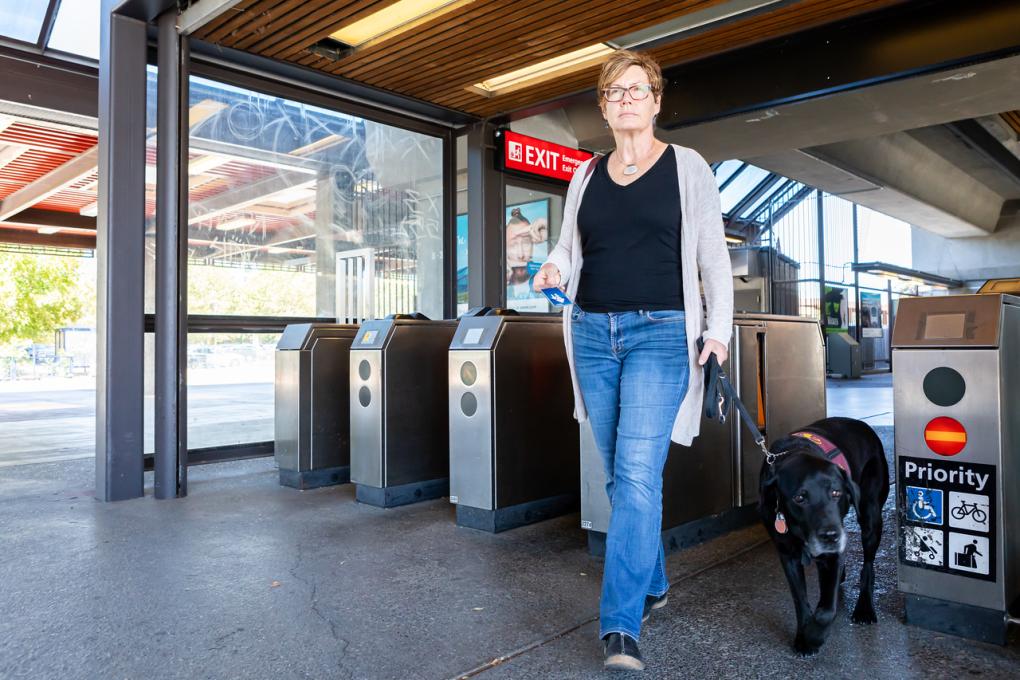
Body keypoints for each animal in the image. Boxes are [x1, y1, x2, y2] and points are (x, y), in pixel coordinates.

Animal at [758, 417, 893, 656]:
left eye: (836, 493)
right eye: (800, 498)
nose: (831, 535)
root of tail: (861, 424)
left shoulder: (833, 552)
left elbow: (826, 610)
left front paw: (815, 636)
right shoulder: (787, 554)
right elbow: (800, 599)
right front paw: (804, 637)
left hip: (871, 517)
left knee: (868, 564)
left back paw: (865, 606)